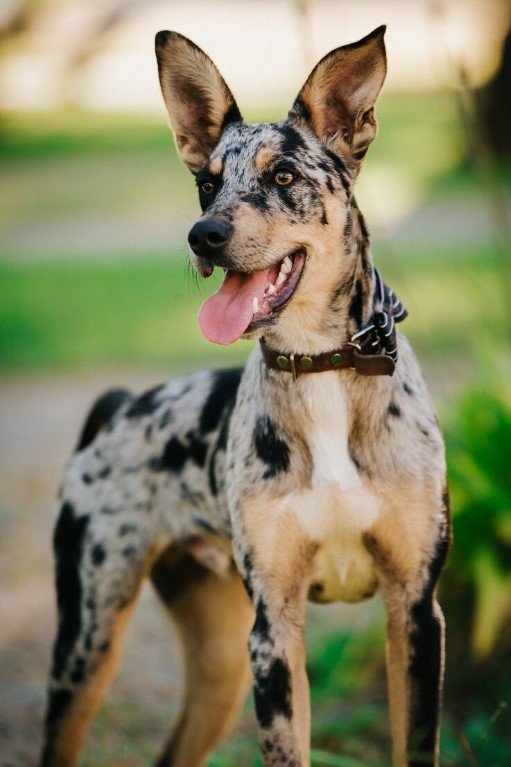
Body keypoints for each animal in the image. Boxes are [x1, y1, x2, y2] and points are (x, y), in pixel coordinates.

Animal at [40, 25, 450, 767]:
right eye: (206, 183)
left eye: (282, 175)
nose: (203, 234)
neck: (321, 368)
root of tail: (119, 406)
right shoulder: (273, 629)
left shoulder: (415, 609)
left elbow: (417, 742)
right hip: (89, 637)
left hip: (218, 655)